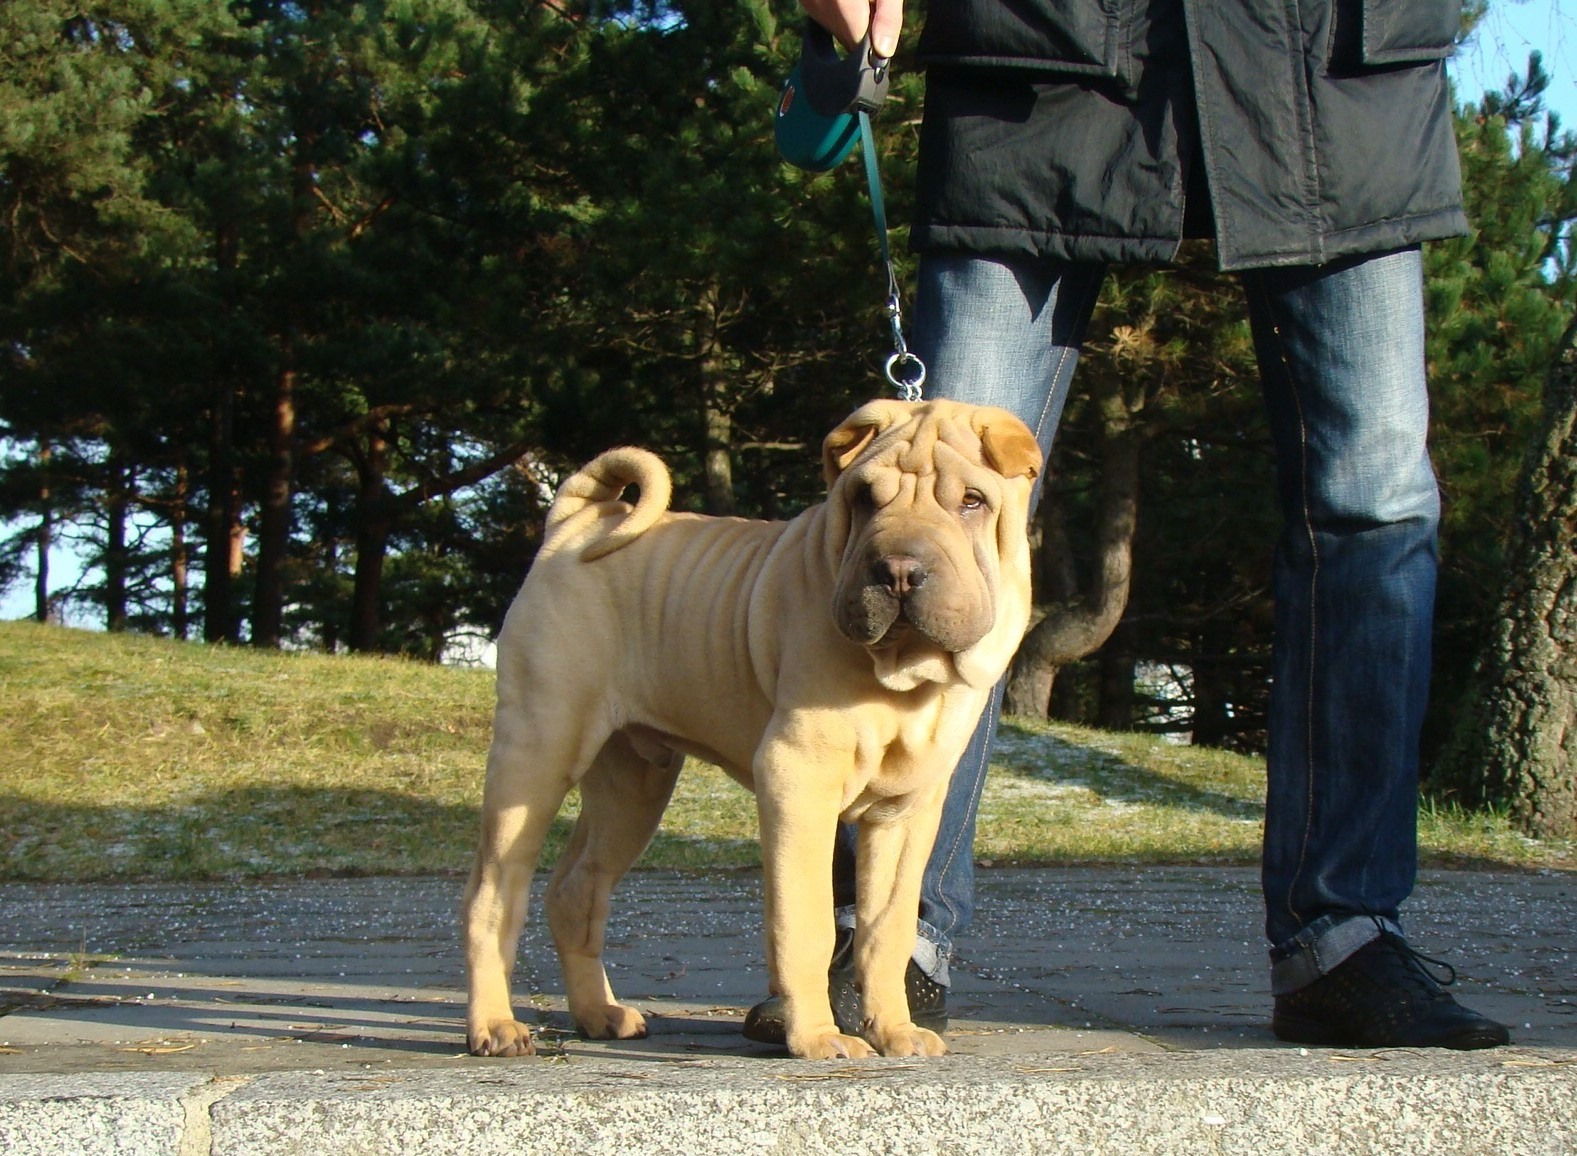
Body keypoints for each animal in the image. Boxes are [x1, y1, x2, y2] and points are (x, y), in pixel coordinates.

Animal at [462, 398, 1041, 1060]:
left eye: (972, 501)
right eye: (864, 498)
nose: (896, 570)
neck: (903, 678)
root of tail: (576, 522)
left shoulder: (905, 811)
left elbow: (887, 930)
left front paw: (894, 1030)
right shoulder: (797, 780)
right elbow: (808, 923)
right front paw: (818, 1037)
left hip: (632, 785)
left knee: (576, 889)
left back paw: (599, 1015)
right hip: (537, 752)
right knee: (493, 893)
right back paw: (495, 1025)